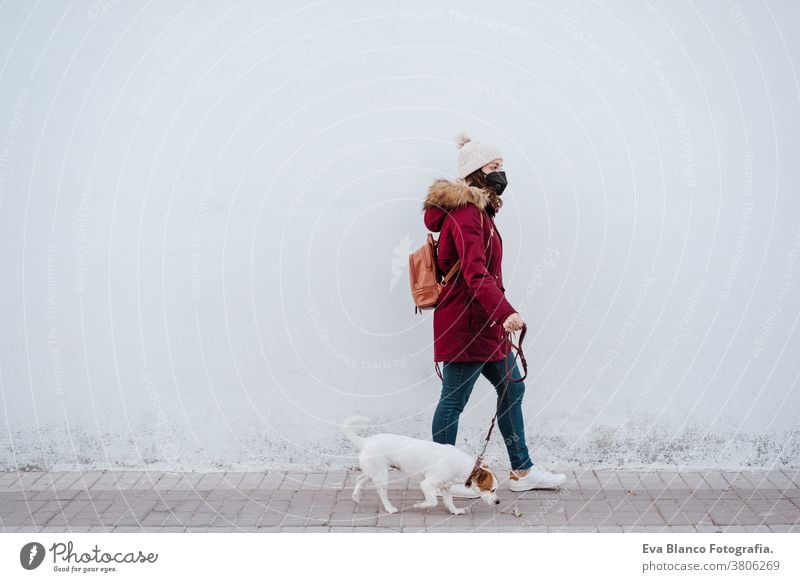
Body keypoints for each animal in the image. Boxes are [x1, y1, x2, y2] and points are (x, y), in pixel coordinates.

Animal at [340, 416, 500, 516]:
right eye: (491, 489)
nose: (498, 502)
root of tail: (365, 441)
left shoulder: (446, 487)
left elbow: (449, 501)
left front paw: (454, 511)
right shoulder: (427, 484)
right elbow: (433, 501)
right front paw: (420, 505)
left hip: (372, 471)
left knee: (360, 479)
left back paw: (355, 497)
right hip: (381, 475)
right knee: (381, 493)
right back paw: (389, 508)